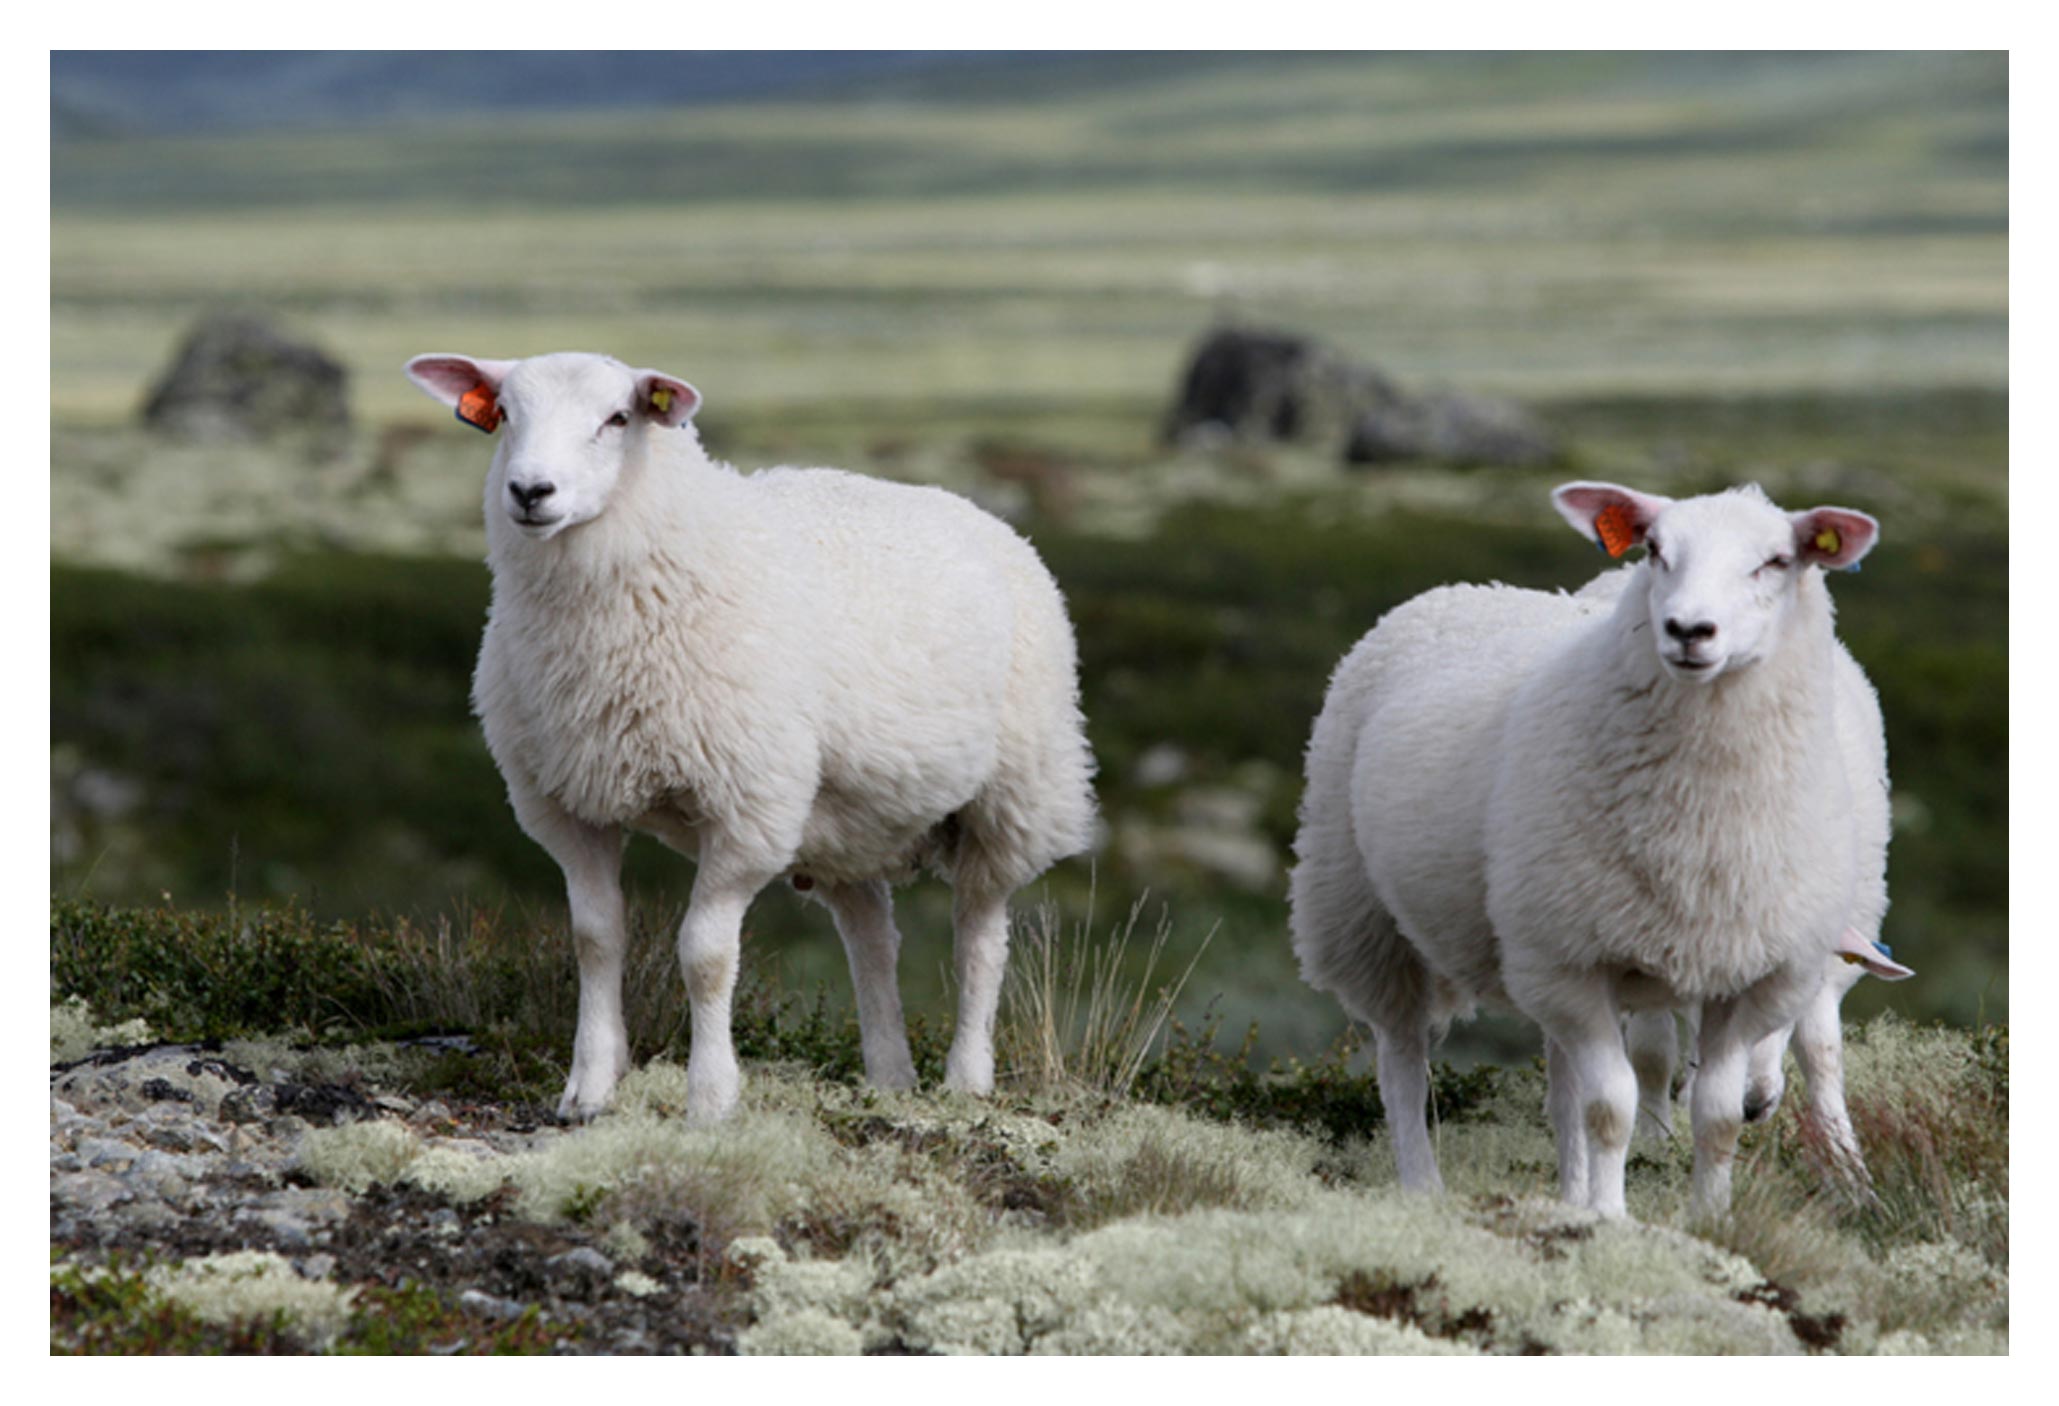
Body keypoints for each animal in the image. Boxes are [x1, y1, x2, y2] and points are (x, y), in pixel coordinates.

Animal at [407, 349, 1103, 1119]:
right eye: (503, 414)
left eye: (617, 418)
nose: (531, 491)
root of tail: (986, 516)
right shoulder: (565, 804)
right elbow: (596, 939)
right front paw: (589, 1087)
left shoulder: (747, 805)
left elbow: (705, 955)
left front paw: (711, 1098)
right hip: (847, 818)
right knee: (872, 935)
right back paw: (890, 1074)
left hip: (1013, 794)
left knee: (979, 936)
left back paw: (965, 1078)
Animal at [1293, 477, 1886, 1218]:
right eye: (1654, 550)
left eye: (1777, 561)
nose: (1687, 630)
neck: (1702, 818)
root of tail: (1462, 588)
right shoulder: (1575, 960)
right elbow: (1610, 1106)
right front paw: (1608, 1215)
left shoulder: (1746, 970)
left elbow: (1716, 1115)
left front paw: (1708, 1217)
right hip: (1364, 910)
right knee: (1401, 1059)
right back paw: (1424, 1184)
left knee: (1561, 1087)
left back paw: (1570, 1191)